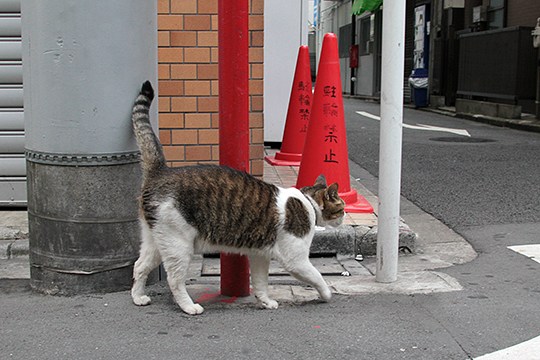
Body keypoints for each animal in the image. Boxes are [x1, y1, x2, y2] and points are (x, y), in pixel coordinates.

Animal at [129, 81, 344, 316]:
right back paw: (189, 307)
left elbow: (260, 282)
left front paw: (265, 301)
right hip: (178, 245)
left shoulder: (260, 255)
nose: (344, 217)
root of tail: (160, 172)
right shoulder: (296, 260)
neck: (309, 203)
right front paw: (327, 294)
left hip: (156, 241)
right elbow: (317, 277)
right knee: (175, 280)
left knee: (139, 267)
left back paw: (138, 297)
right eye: (342, 207)